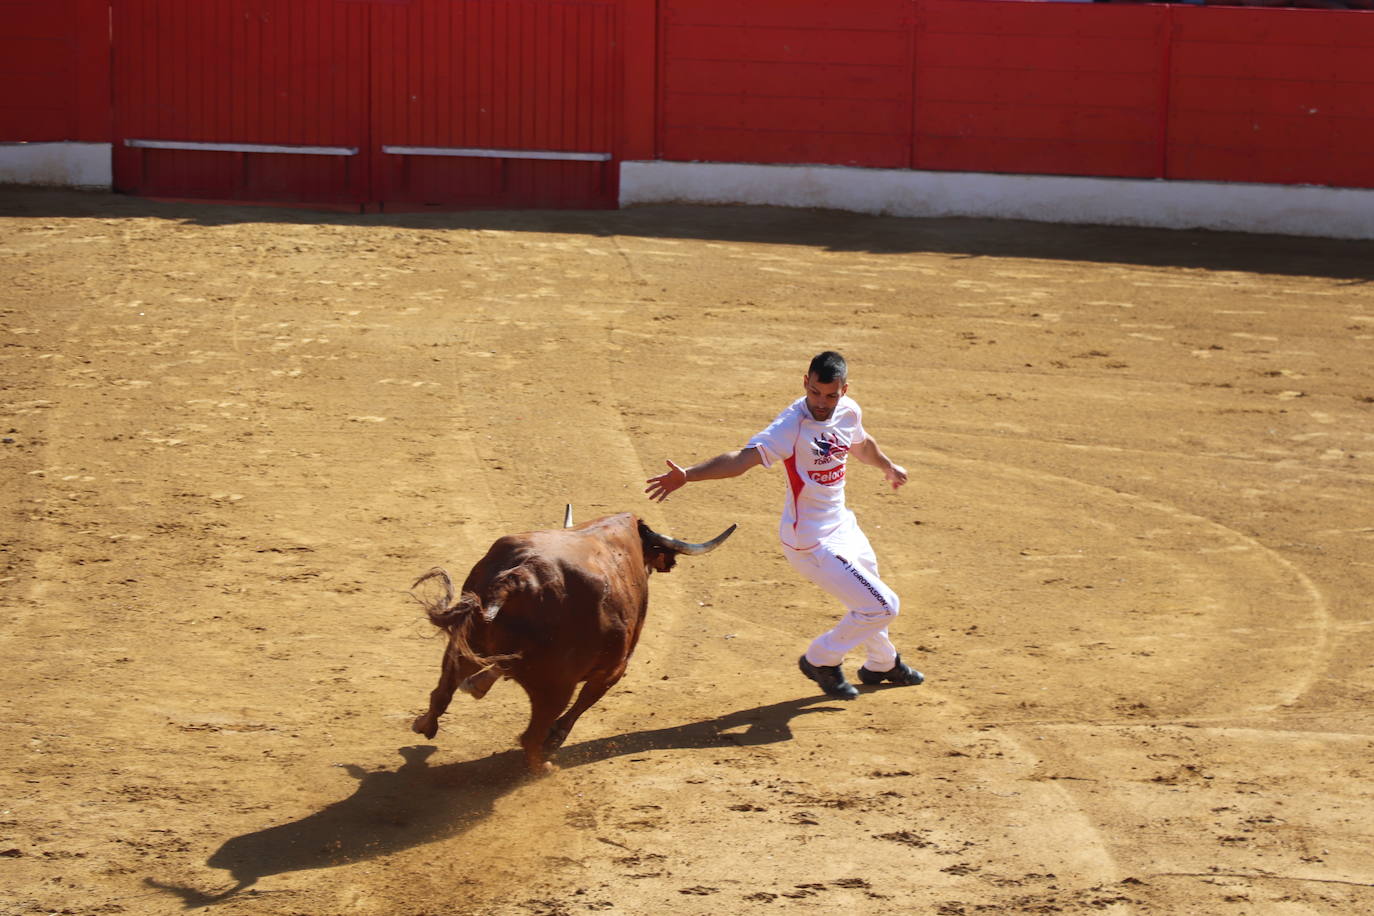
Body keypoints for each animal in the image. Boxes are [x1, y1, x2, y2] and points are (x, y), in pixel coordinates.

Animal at [406, 508, 736, 774]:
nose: (669, 563)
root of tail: (519, 576)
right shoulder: (614, 669)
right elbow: (585, 702)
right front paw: (555, 738)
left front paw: (478, 685)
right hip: (557, 686)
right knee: (532, 734)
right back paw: (544, 767)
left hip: (463, 643)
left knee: (441, 692)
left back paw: (425, 725)